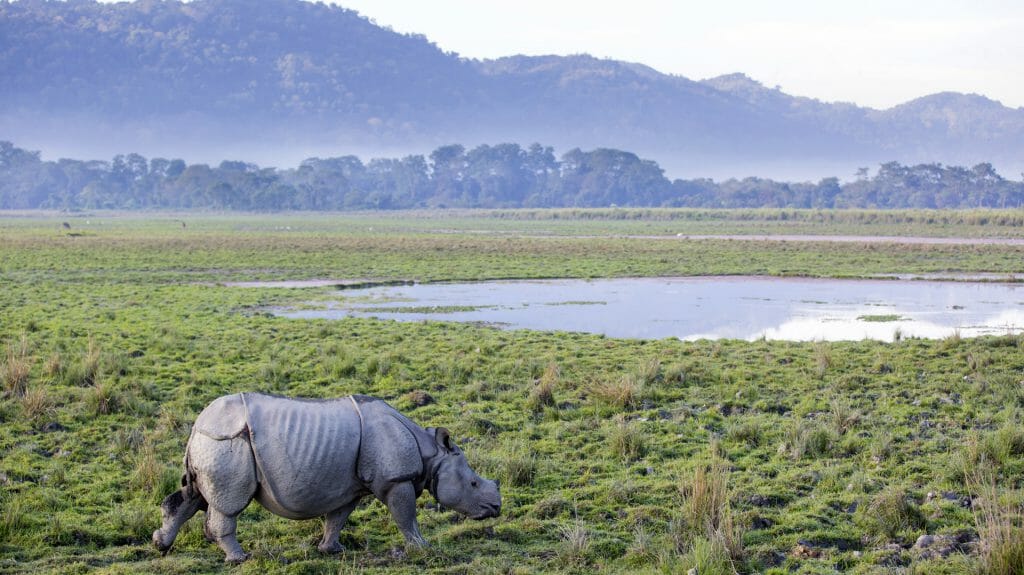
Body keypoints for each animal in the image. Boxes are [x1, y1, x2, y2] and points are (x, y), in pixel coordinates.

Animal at [152, 393, 501, 563]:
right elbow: (406, 517)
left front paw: (332, 550)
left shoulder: (350, 488)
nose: (496, 508)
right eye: (473, 484)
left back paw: (161, 544)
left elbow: (337, 518)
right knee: (228, 504)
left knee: (193, 496)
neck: (431, 453)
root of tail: (197, 425)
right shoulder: (396, 480)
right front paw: (422, 548)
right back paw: (239, 558)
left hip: (212, 443)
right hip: (228, 442)